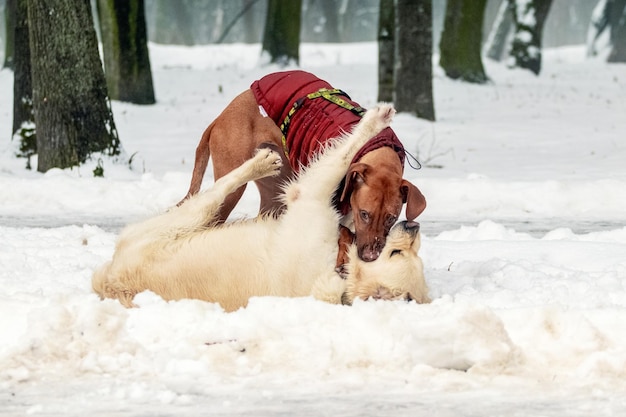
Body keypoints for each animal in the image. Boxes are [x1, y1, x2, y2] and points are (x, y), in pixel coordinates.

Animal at [91, 104, 428, 310]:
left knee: (218, 188)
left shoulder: (307, 195)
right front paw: (375, 120)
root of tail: (109, 282)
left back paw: (262, 163)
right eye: (405, 253)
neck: (340, 266)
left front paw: (373, 120)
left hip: (186, 217)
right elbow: (345, 153)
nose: (413, 226)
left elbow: (341, 155)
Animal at [178, 70, 426, 260]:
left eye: (391, 218)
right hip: (232, 189)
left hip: (274, 193)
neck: (378, 149)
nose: (369, 257)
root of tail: (219, 118)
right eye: (365, 213)